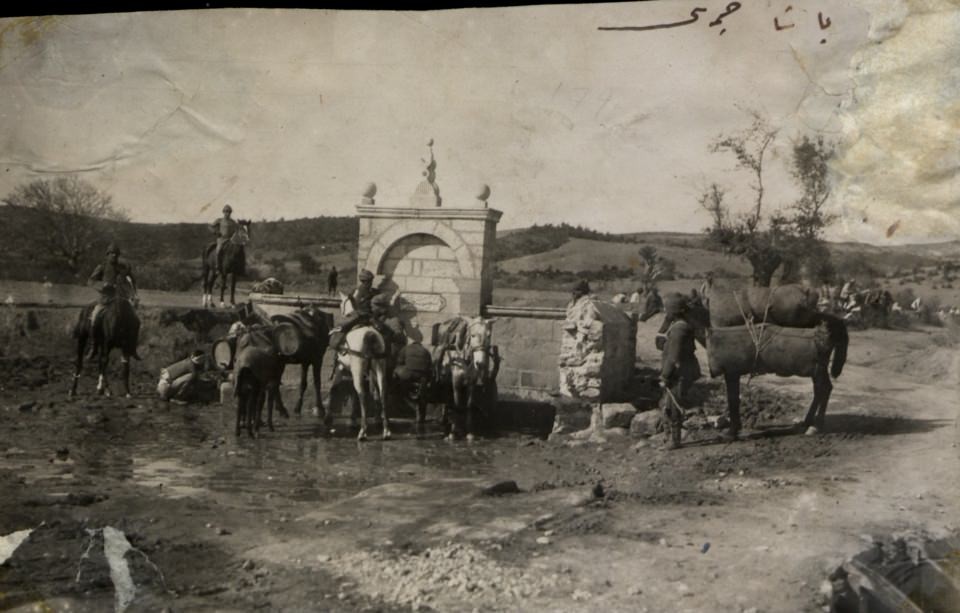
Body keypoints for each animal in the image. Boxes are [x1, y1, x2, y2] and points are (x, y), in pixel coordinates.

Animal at [332, 292, 388, 440]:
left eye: (340, 304)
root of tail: (370, 334)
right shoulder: (370, 373)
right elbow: (373, 393)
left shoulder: (342, 367)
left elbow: (338, 387)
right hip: (379, 367)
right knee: (382, 392)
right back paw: (386, 430)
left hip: (357, 369)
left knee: (362, 393)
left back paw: (363, 431)